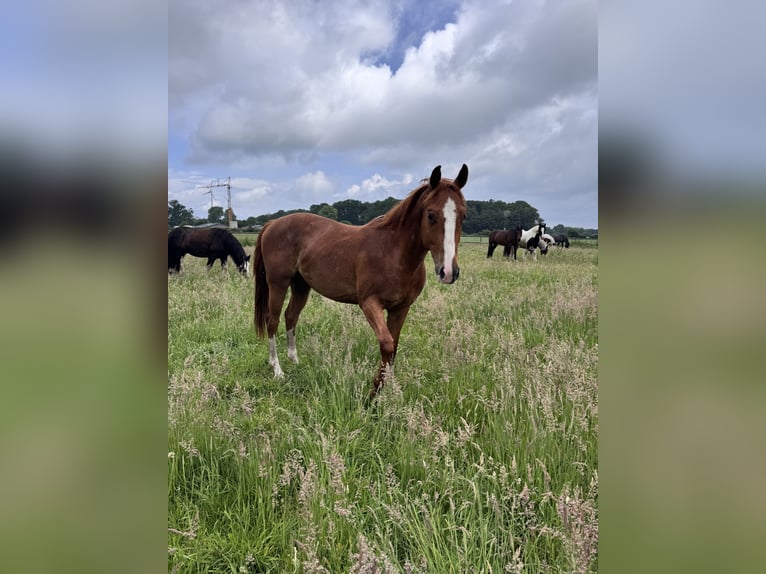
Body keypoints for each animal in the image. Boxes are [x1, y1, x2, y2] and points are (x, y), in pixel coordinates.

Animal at [254, 164, 468, 398]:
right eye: (431, 215)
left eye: (463, 215)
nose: (448, 271)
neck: (393, 251)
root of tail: (273, 223)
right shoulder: (369, 304)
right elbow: (387, 344)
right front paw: (374, 392)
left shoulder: (401, 309)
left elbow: (394, 347)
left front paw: (388, 388)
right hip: (278, 284)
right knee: (272, 320)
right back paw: (277, 369)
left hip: (301, 286)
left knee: (291, 316)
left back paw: (295, 360)